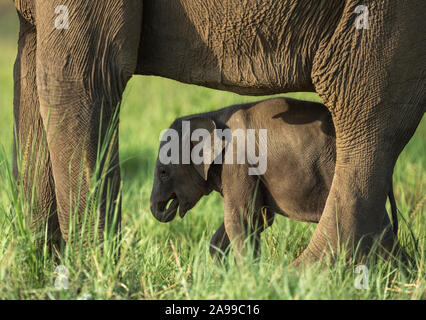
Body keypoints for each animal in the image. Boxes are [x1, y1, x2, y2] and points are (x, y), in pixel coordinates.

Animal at [150, 98, 400, 260]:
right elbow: (260, 218)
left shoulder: (237, 163)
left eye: (163, 172)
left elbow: (242, 219)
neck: (212, 115)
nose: (163, 209)